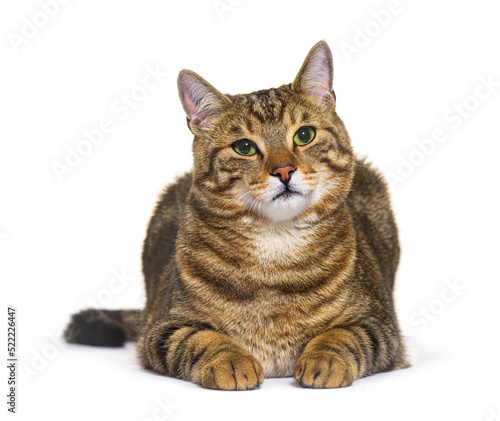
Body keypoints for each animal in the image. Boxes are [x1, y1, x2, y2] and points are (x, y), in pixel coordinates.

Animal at [64, 41, 408, 388]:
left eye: (304, 135)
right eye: (244, 147)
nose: (284, 170)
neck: (276, 256)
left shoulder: (381, 324)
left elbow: (345, 335)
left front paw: (324, 358)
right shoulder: (162, 326)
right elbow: (200, 338)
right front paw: (230, 360)